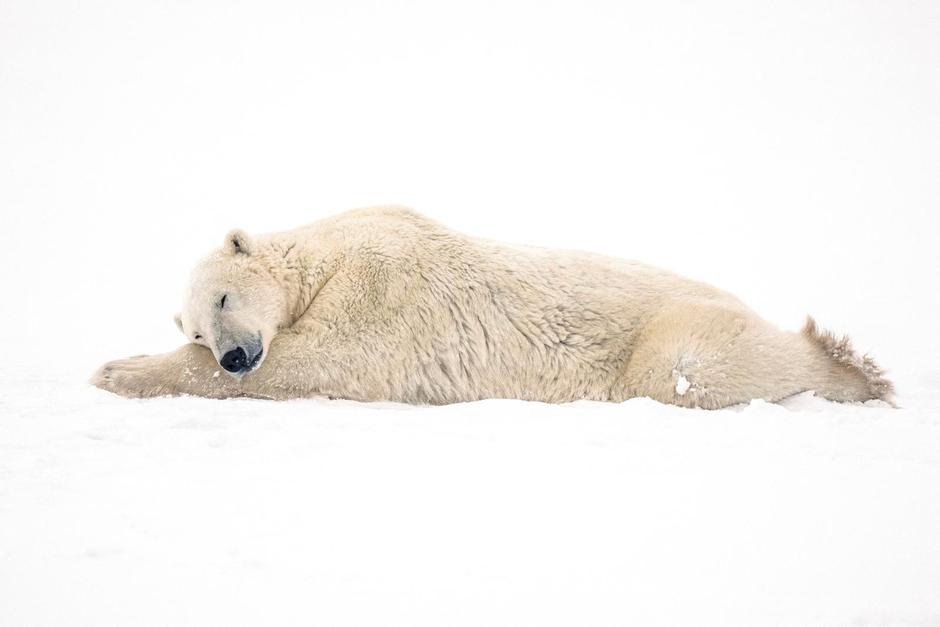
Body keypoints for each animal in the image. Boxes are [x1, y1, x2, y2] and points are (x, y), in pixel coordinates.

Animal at [91, 205, 894, 409]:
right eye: (202, 327)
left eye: (224, 297)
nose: (233, 353)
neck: (330, 251)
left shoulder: (385, 283)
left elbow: (326, 355)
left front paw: (116, 369)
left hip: (673, 326)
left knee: (687, 367)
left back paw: (846, 365)